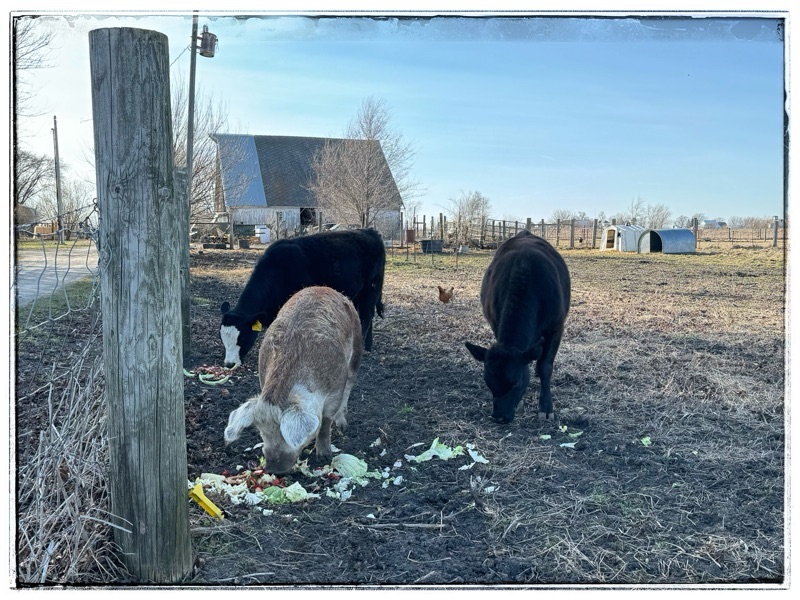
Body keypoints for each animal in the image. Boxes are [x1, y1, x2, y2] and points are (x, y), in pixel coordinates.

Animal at [220, 228, 385, 368]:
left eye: (241, 338)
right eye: (222, 338)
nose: (229, 364)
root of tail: (370, 231)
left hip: (372, 287)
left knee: (366, 314)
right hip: (359, 293)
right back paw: (367, 347)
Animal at [224, 286, 363, 474]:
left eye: (285, 435)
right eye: (262, 432)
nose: (273, 469)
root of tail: (324, 287)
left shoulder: (335, 389)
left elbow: (325, 422)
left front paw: (324, 456)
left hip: (357, 344)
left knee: (350, 382)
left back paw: (342, 426)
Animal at [465, 230, 570, 423]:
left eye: (516, 383)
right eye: (488, 382)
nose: (499, 417)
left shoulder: (557, 327)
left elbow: (546, 366)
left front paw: (546, 407)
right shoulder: (495, 323)